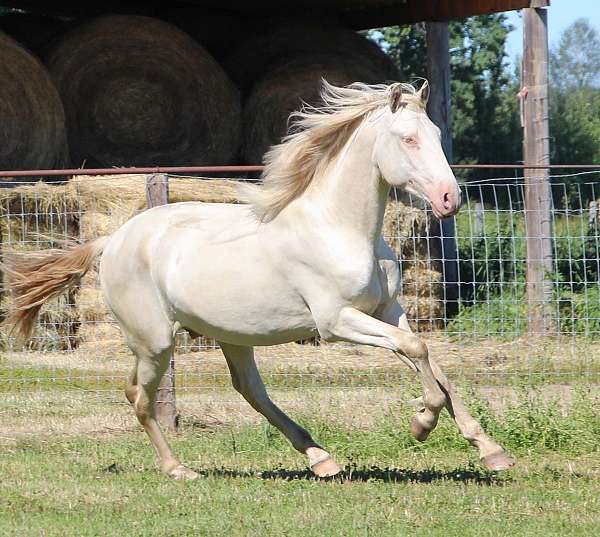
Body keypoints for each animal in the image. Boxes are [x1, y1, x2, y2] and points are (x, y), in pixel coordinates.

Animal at [3, 79, 516, 478]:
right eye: (408, 139)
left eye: (436, 134)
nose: (450, 199)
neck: (339, 228)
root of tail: (112, 240)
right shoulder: (336, 322)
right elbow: (418, 351)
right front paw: (421, 424)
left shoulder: (390, 311)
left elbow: (433, 363)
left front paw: (491, 451)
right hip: (155, 341)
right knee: (140, 396)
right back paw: (179, 469)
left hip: (231, 335)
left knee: (250, 391)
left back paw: (321, 459)